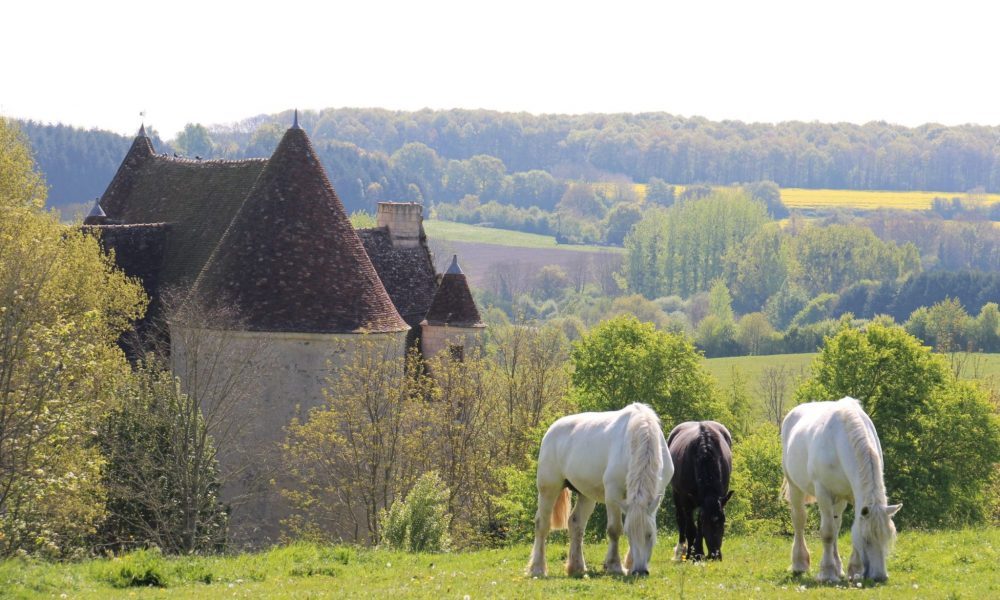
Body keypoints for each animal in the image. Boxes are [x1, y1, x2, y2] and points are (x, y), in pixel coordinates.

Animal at [524, 404, 672, 576]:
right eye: (628, 534)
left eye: (650, 535)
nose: (640, 571)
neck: (639, 434)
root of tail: (551, 430)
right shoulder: (613, 494)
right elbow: (614, 530)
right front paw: (615, 566)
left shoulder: (658, 493)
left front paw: (629, 564)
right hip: (549, 488)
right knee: (542, 524)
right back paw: (538, 568)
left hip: (585, 494)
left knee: (576, 524)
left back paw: (577, 567)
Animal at [664, 422, 736, 564]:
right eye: (706, 522)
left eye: (723, 520)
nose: (715, 555)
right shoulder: (686, 500)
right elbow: (691, 528)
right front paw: (693, 555)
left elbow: (698, 527)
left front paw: (698, 552)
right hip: (676, 494)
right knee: (681, 521)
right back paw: (681, 551)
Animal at [784, 396, 904, 584]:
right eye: (866, 539)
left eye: (887, 538)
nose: (879, 577)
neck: (840, 440)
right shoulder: (823, 492)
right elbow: (827, 533)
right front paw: (827, 573)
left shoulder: (853, 496)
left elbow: (841, 530)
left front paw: (854, 570)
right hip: (795, 486)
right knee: (799, 520)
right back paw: (799, 564)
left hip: (839, 499)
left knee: (836, 524)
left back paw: (838, 568)